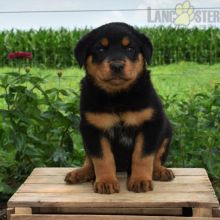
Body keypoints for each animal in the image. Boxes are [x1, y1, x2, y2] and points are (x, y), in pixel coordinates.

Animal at [64, 22, 174, 193]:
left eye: (130, 48)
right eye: (100, 49)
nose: (117, 65)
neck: (118, 96)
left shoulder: (150, 124)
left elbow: (143, 156)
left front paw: (140, 181)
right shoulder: (93, 128)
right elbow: (102, 158)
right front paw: (106, 182)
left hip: (167, 130)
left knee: (157, 157)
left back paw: (160, 171)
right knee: (89, 160)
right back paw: (81, 173)